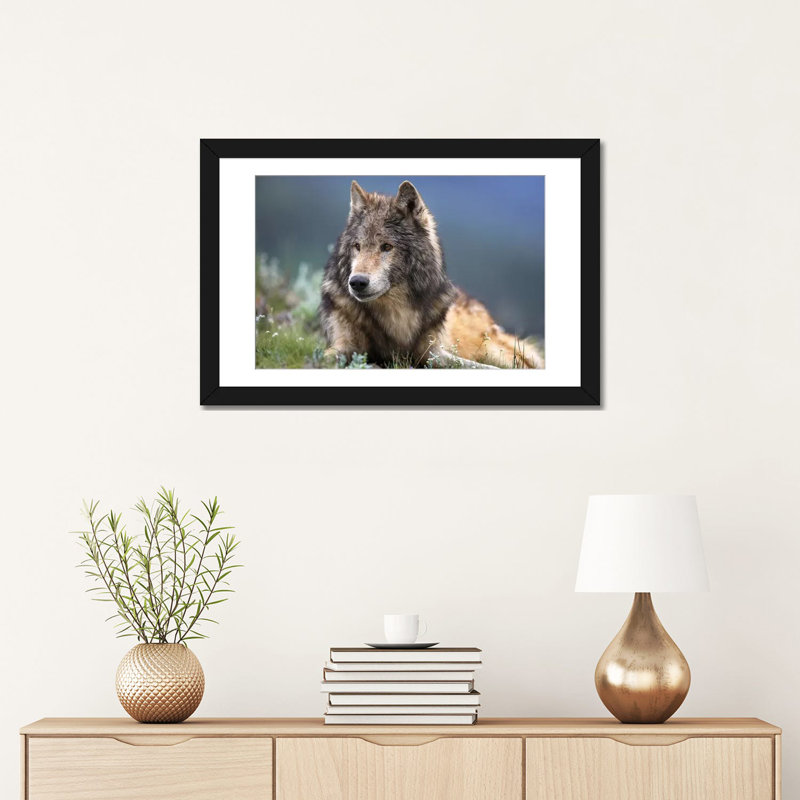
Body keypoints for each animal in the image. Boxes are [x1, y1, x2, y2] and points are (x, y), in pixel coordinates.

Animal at [319, 180, 544, 369]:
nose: (357, 282)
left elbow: (478, 367)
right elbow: (325, 356)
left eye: (387, 246)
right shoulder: (345, 345)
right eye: (357, 246)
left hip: (493, 350)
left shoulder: (432, 353)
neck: (395, 313)